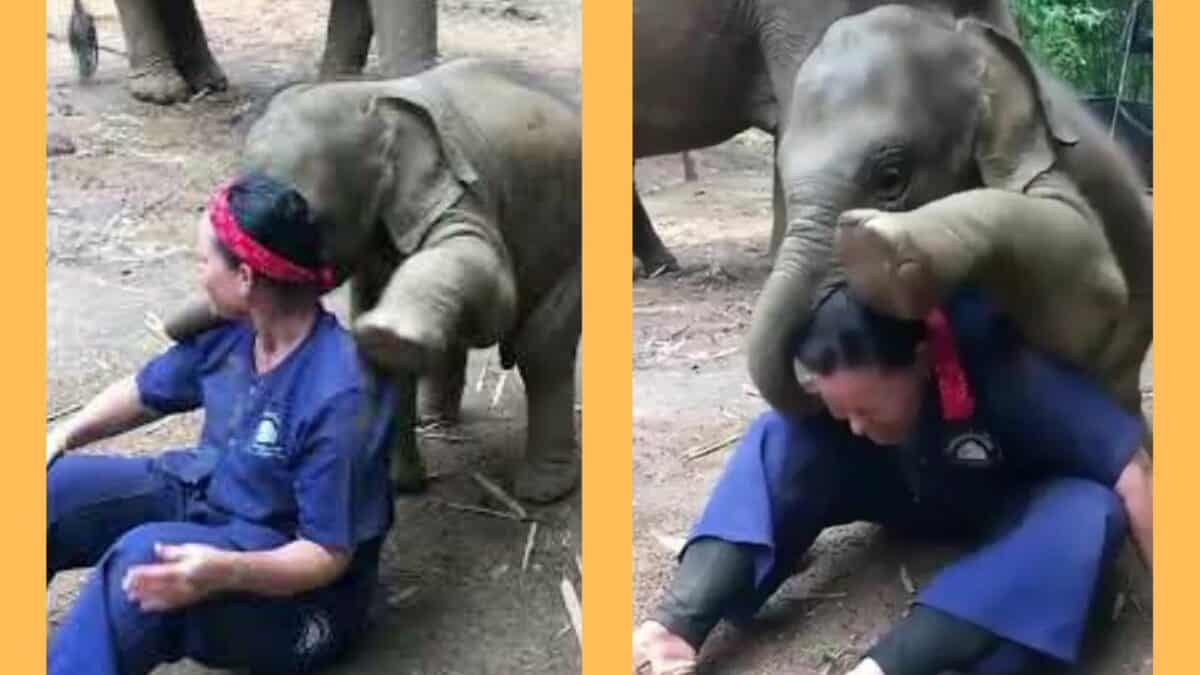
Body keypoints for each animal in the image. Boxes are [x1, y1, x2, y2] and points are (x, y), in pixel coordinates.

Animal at [169, 61, 580, 499]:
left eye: (308, 220)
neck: (371, 97)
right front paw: (399, 485)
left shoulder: (464, 193)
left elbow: (495, 288)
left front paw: (386, 335)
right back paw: (434, 421)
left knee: (543, 346)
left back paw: (541, 491)